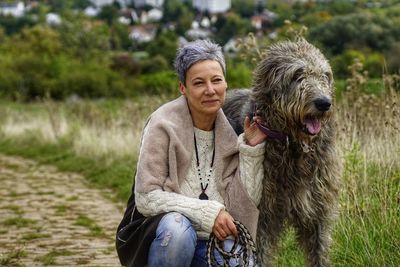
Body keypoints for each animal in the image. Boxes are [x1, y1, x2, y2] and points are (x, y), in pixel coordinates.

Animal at [223, 40, 340, 267]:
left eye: (325, 75)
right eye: (297, 75)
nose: (324, 103)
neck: (293, 146)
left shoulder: (317, 208)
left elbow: (319, 250)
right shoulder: (262, 215)